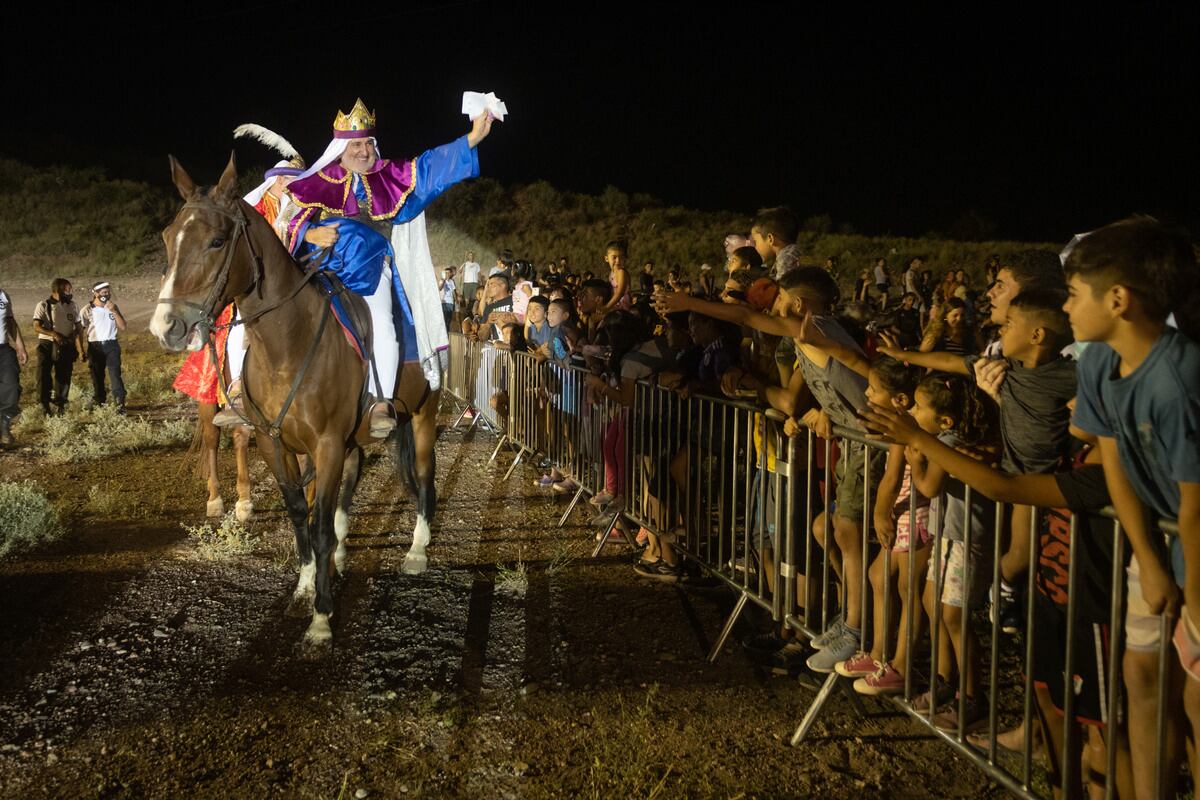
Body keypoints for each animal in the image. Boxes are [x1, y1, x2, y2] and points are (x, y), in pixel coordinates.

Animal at [150, 154, 441, 652]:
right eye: (170, 236)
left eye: (217, 240)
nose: (167, 325)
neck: (288, 342)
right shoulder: (276, 444)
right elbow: (300, 516)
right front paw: (306, 586)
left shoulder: (325, 445)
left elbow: (319, 526)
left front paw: (322, 618)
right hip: (352, 437)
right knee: (352, 476)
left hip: (422, 415)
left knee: (422, 478)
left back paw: (417, 550)